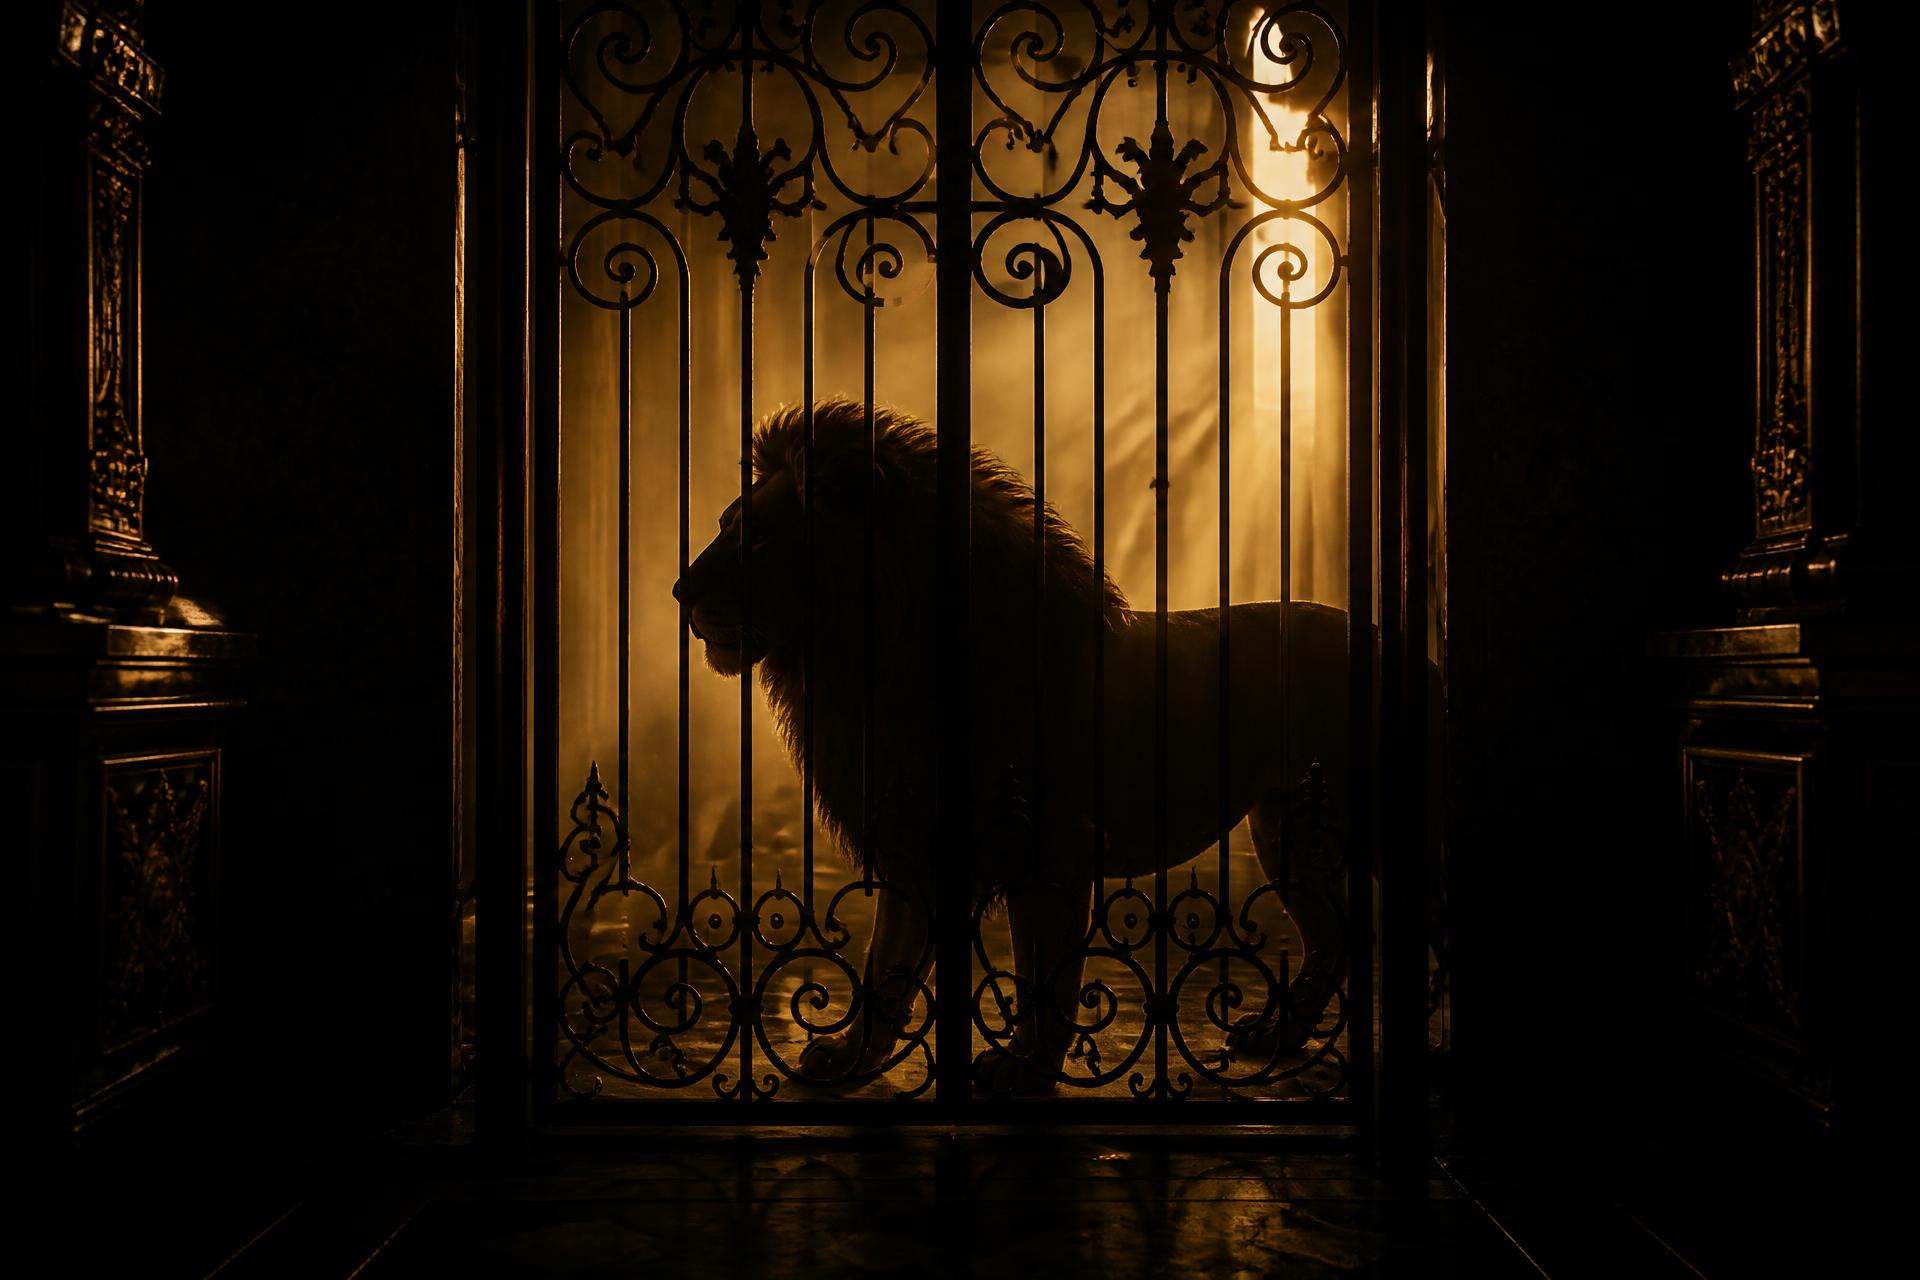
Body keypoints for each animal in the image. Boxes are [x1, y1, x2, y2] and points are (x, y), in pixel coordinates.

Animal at [672, 398, 1376, 1092]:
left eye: (759, 538)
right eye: (726, 524)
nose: (680, 592)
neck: (869, 667)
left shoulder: (1052, 845)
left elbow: (1046, 974)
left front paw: (1024, 1065)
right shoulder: (917, 843)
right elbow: (887, 970)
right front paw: (850, 1058)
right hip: (1285, 830)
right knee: (1332, 934)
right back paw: (1274, 1036)